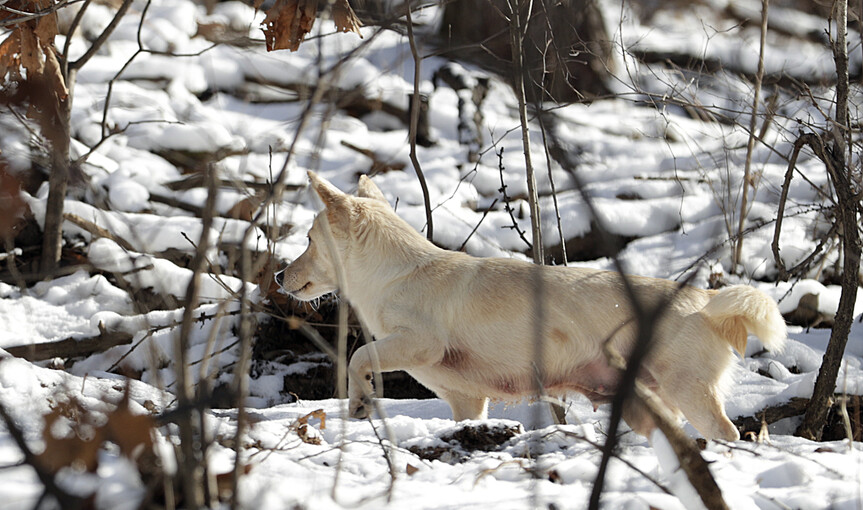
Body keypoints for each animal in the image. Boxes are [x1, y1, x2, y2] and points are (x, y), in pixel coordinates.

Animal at [280, 172, 788, 442]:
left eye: (308, 239)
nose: (280, 276)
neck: (395, 272)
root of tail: (705, 301)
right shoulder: (468, 401)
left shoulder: (419, 342)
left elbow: (358, 357)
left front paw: (361, 402)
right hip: (652, 404)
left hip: (690, 391)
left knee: (728, 433)